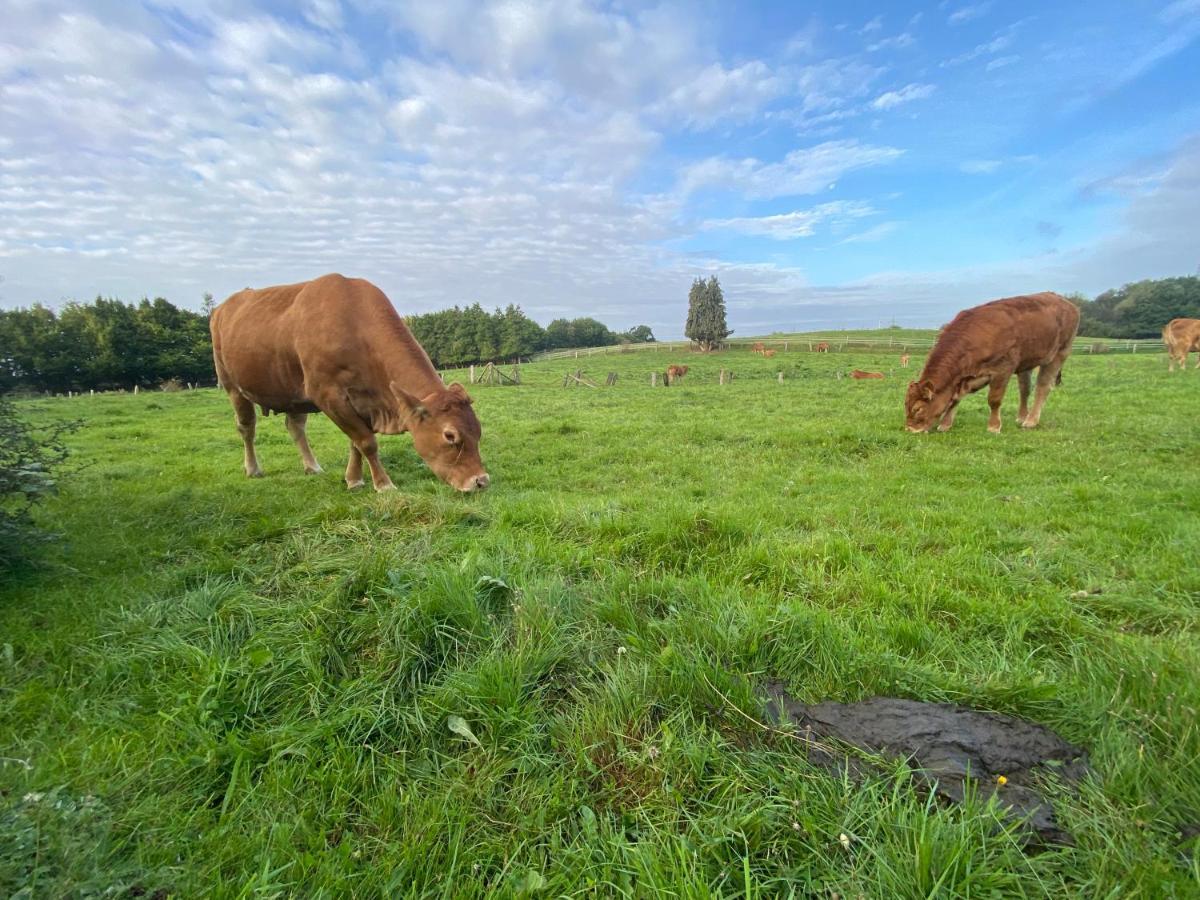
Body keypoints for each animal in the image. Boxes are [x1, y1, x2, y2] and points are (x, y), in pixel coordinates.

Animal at [211, 278, 487, 496]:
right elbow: (366, 441)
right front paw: (383, 484)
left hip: (291, 390)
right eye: (450, 436)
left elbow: (356, 442)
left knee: (295, 427)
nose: (481, 481)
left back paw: (312, 466)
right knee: (247, 427)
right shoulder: (328, 395)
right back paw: (253, 468)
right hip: (232, 385)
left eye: (478, 430)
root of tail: (222, 308)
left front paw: (354, 479)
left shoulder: (364, 402)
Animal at [902, 290, 1084, 434]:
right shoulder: (968, 377)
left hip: (1059, 354)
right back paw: (1021, 416)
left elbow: (994, 400)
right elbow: (955, 398)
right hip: (1027, 362)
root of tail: (1068, 303)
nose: (910, 429)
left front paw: (994, 426)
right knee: (1025, 389)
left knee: (1042, 387)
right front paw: (946, 424)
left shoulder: (1002, 370)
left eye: (918, 408)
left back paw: (1031, 421)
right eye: (906, 405)